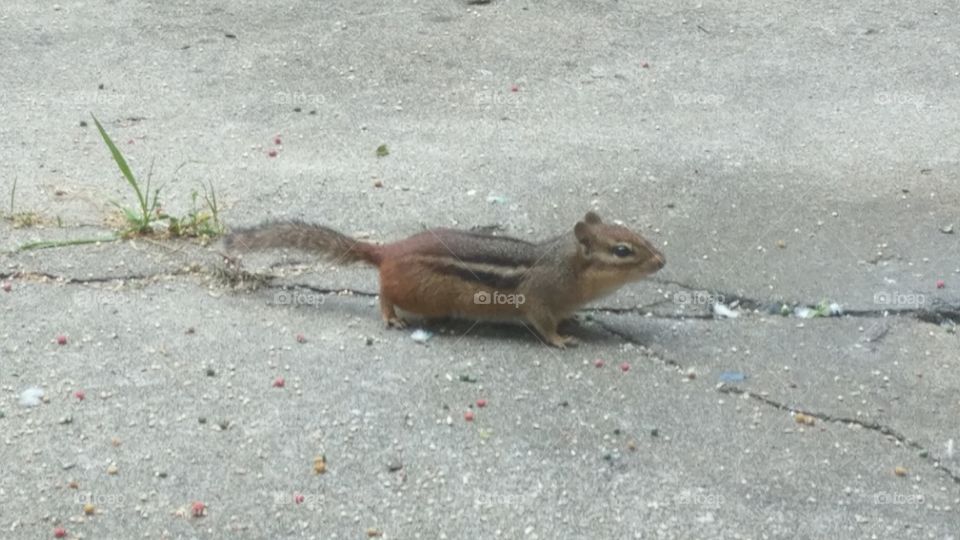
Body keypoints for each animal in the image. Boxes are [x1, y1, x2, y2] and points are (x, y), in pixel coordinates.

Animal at [223, 212, 665, 348]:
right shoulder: (538, 298)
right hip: (419, 293)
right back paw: (391, 316)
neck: (566, 265)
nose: (662, 260)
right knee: (384, 293)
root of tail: (389, 251)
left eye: (636, 235)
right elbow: (541, 323)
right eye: (623, 251)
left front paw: (571, 320)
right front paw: (560, 338)